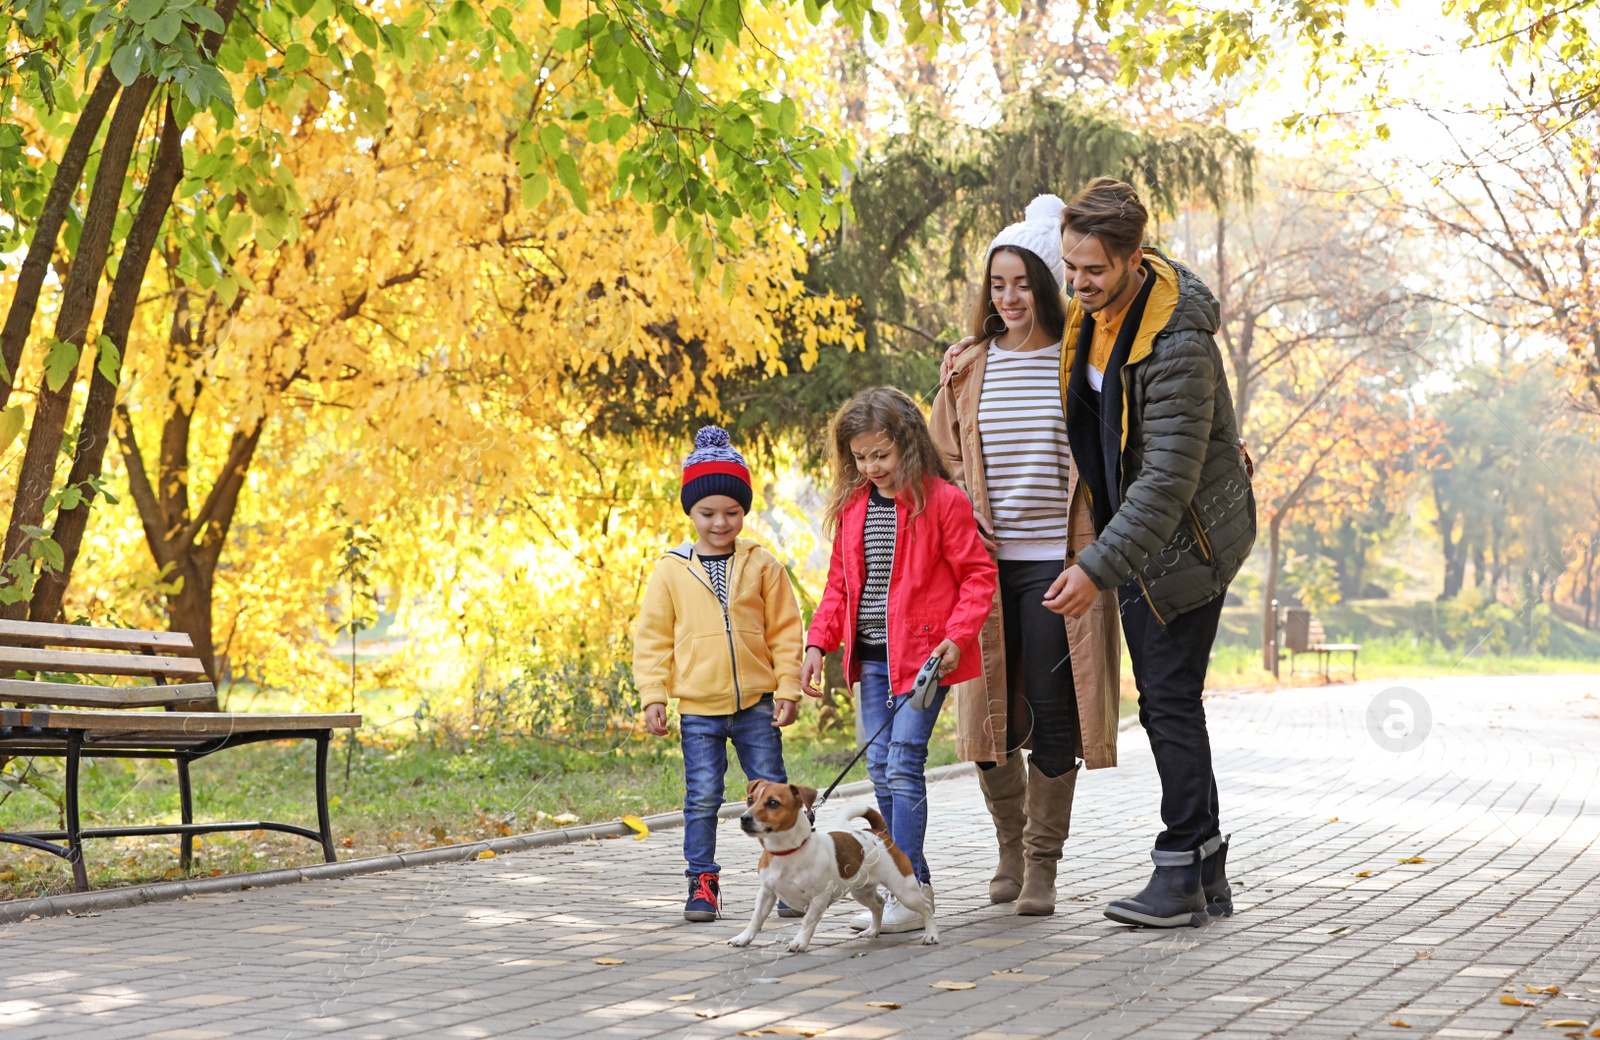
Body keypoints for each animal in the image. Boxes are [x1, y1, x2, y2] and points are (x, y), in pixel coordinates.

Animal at [729, 777, 934, 947]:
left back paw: (931, 935)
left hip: (904, 891)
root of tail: (878, 833)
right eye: (750, 800)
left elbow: (807, 921)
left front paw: (799, 942)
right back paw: (873, 931)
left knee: (926, 907)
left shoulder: (819, 898)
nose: (744, 818)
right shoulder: (766, 893)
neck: (787, 851)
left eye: (773, 803)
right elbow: (756, 918)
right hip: (861, 891)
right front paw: (743, 938)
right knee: (878, 904)